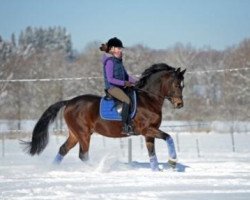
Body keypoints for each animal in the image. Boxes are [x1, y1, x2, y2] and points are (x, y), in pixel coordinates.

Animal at [23, 63, 186, 171]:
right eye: (176, 85)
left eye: (183, 85)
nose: (179, 104)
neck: (148, 99)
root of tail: (69, 102)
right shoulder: (147, 129)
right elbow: (169, 137)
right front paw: (172, 162)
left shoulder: (149, 133)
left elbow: (152, 152)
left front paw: (156, 171)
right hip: (83, 134)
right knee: (83, 155)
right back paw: (98, 168)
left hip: (75, 134)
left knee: (63, 149)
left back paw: (53, 168)